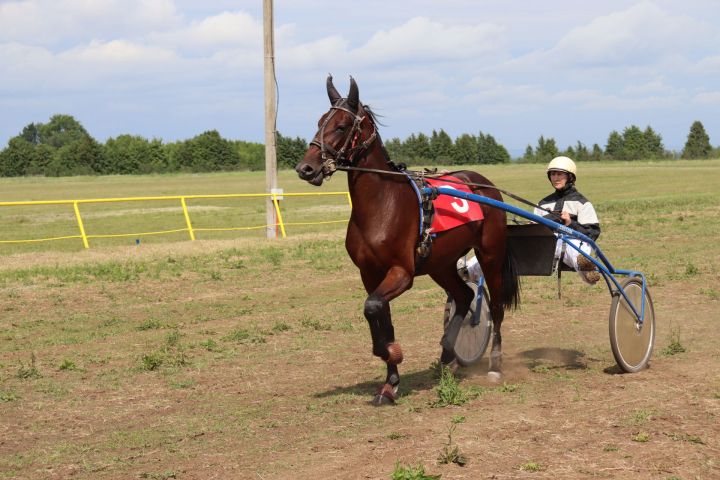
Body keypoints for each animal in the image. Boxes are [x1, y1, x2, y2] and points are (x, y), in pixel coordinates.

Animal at [296, 76, 520, 404]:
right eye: (319, 121)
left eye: (340, 126)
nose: (306, 168)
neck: (381, 205)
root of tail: (483, 184)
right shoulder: (370, 273)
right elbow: (378, 313)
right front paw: (390, 382)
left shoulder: (402, 272)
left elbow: (373, 307)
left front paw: (391, 353)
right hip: (441, 263)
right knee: (464, 297)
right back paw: (447, 354)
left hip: (490, 254)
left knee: (497, 306)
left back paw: (494, 364)